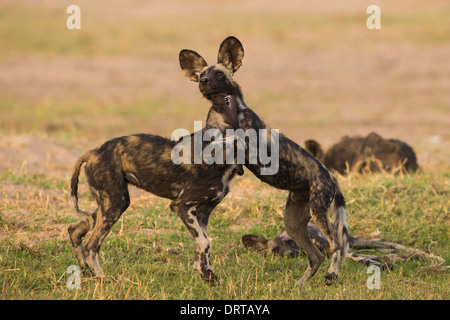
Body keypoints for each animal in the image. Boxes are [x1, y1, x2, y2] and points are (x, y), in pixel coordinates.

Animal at [68, 38, 248, 284]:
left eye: (219, 73)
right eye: (203, 74)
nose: (203, 81)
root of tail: (93, 151)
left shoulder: (202, 212)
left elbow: (202, 247)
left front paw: (207, 276)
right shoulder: (182, 205)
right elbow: (204, 242)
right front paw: (208, 277)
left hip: (107, 203)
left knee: (76, 230)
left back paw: (85, 271)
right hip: (115, 204)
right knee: (91, 245)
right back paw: (103, 279)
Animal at [181, 36, 350, 286]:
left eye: (219, 73)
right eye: (202, 74)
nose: (203, 81)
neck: (225, 109)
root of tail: (329, 175)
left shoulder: (244, 141)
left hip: (318, 211)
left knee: (337, 246)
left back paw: (332, 275)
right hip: (294, 221)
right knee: (316, 256)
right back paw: (299, 286)